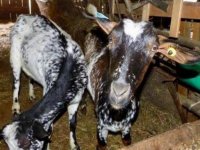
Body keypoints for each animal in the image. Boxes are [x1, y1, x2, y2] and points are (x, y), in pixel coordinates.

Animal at [7, 14, 86, 150]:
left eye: (26, 145)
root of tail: (25, 15)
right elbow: (50, 128)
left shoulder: (76, 100)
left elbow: (73, 123)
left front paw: (74, 144)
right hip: (14, 57)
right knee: (16, 83)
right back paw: (16, 107)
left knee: (29, 77)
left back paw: (31, 94)